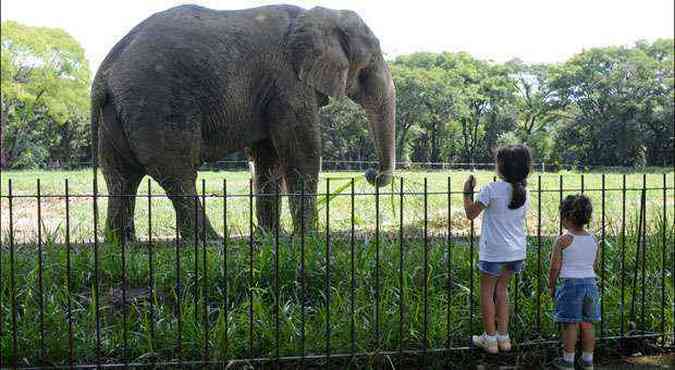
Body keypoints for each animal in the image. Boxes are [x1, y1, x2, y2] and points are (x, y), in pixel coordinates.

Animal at [90, 4, 396, 241]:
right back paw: (209, 241)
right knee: (178, 174)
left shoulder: (271, 90)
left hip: (117, 114)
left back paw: (122, 243)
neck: (318, 15)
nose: (371, 174)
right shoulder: (287, 82)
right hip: (159, 104)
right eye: (369, 65)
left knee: (120, 177)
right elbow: (302, 153)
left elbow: (267, 158)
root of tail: (105, 73)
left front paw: (271, 237)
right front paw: (310, 238)